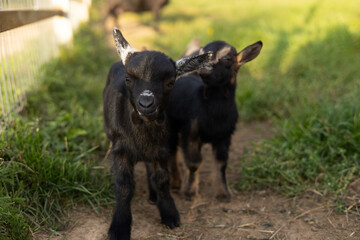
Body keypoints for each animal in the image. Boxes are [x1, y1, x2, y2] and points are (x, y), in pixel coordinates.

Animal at [102, 27, 212, 239]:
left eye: (170, 82)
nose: (146, 104)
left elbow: (162, 179)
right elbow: (124, 185)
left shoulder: (162, 148)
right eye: (128, 79)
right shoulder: (120, 149)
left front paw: (170, 215)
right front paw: (119, 227)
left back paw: (153, 196)